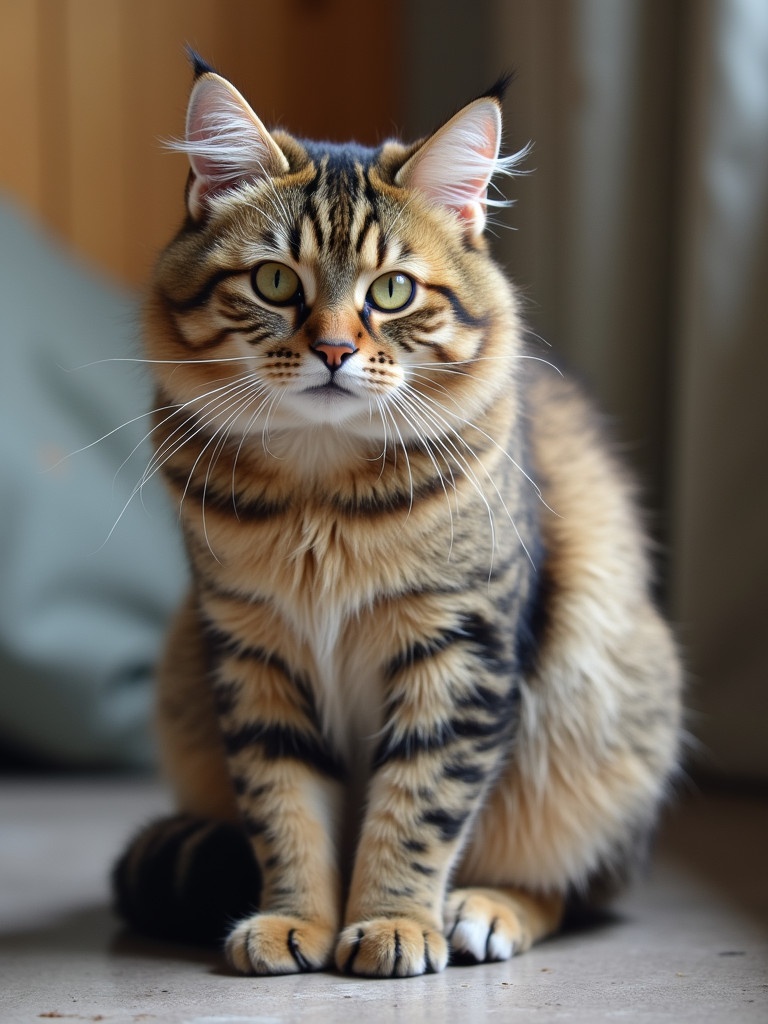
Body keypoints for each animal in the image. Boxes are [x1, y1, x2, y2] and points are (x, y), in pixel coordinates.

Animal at [111, 54, 684, 974]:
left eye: (393, 290)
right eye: (275, 281)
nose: (335, 350)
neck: (319, 492)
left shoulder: (459, 646)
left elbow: (418, 807)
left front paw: (391, 922)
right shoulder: (253, 650)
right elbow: (286, 808)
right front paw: (295, 921)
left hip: (601, 716)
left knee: (572, 885)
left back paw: (481, 912)